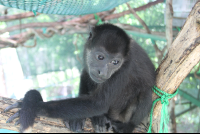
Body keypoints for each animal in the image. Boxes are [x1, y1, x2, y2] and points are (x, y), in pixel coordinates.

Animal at [3, 23, 155, 133]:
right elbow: (85, 74)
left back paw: (128, 125)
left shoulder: (124, 69)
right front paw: (78, 119)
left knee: (145, 93)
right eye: (100, 57)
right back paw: (99, 118)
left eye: (115, 62)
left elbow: (98, 103)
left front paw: (34, 107)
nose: (103, 72)